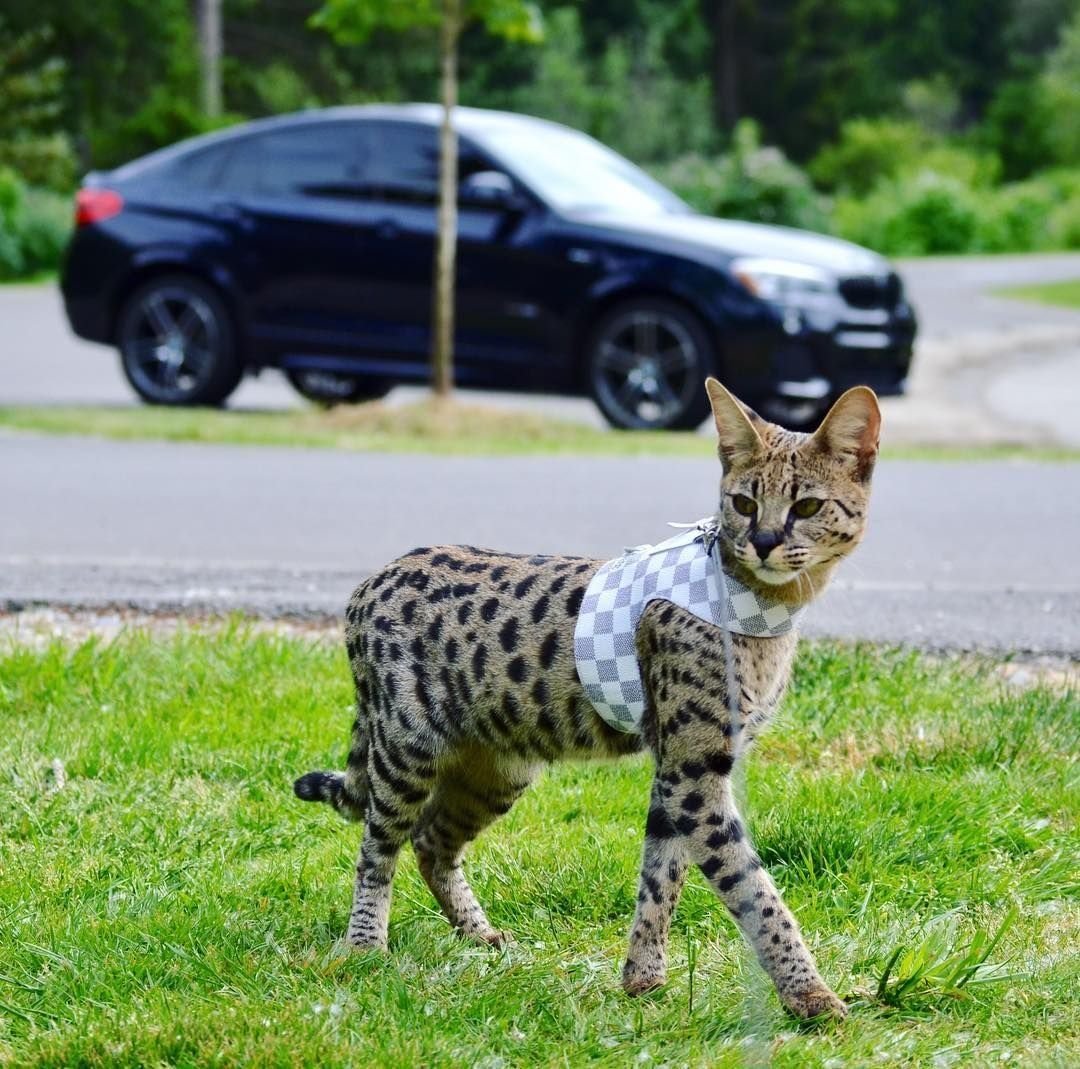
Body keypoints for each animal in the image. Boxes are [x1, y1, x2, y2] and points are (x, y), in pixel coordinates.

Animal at [293, 375, 876, 1019]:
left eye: (808, 507)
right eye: (744, 504)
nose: (766, 540)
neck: (763, 609)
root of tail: (369, 583)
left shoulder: (678, 771)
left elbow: (660, 877)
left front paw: (643, 981)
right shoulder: (692, 772)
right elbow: (753, 889)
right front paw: (810, 995)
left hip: (498, 765)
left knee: (431, 841)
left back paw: (478, 934)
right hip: (407, 747)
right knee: (377, 848)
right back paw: (364, 947)